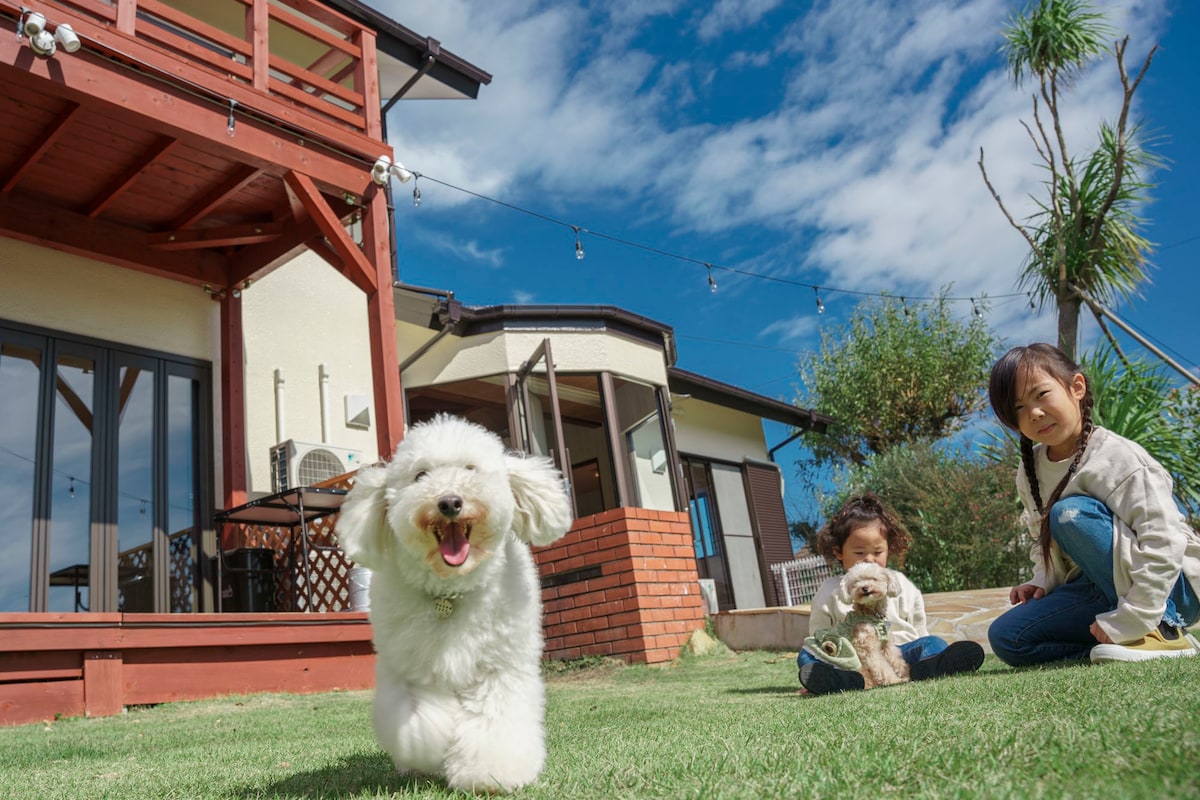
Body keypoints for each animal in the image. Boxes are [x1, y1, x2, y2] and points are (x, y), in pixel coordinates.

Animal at [336, 417, 573, 791]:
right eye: (420, 475)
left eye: (470, 469)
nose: (449, 502)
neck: (450, 593)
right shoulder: (411, 668)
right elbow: (420, 722)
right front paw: (433, 748)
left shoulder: (499, 666)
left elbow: (494, 721)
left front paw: (490, 774)